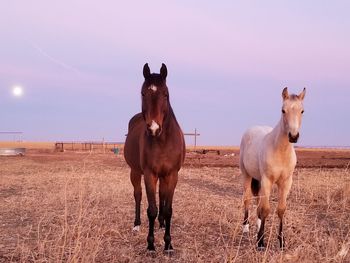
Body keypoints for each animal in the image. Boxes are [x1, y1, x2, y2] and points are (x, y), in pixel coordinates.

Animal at [123, 63, 186, 253]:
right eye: (143, 93)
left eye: (165, 94)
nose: (153, 129)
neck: (163, 141)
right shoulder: (149, 174)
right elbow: (151, 209)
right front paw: (151, 245)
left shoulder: (172, 175)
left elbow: (167, 209)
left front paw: (168, 244)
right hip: (135, 172)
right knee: (137, 195)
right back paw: (136, 225)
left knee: (161, 197)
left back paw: (161, 223)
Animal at [239, 87, 304, 251]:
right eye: (283, 110)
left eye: (302, 111)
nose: (293, 136)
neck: (280, 151)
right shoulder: (267, 180)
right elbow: (266, 209)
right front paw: (261, 243)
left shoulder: (286, 183)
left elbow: (280, 209)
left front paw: (281, 242)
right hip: (246, 175)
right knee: (248, 199)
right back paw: (246, 228)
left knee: (258, 203)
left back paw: (257, 227)